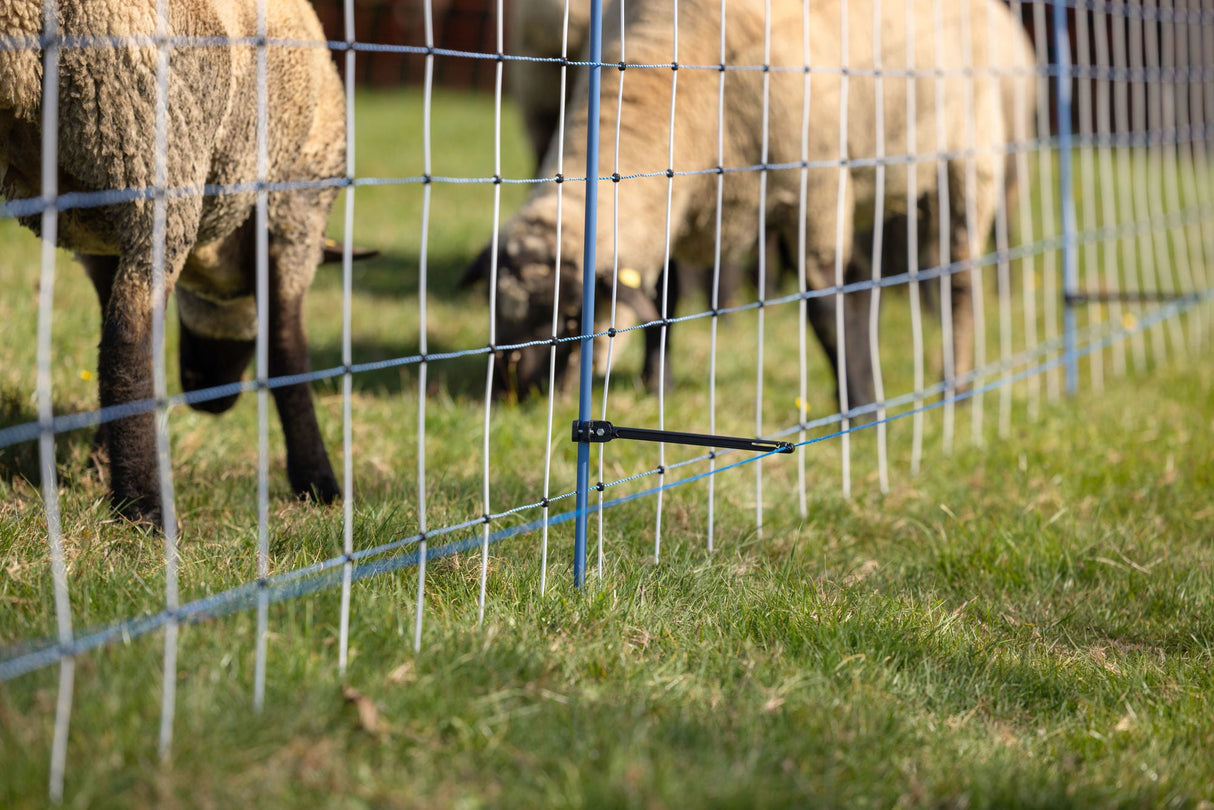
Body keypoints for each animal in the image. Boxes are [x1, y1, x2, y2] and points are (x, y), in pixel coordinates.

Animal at [1, 0, 347, 527]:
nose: (210, 398)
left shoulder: (98, 234)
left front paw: (98, 462)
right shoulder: (297, 207)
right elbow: (289, 348)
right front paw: (318, 482)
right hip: (152, 155)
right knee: (129, 340)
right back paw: (144, 508)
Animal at [483, 0, 1034, 405]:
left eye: (572, 319)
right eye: (494, 310)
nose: (516, 395)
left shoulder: (818, 190)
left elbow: (825, 307)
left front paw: (859, 406)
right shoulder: (681, 204)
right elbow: (663, 301)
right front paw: (656, 386)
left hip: (974, 162)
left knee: (958, 279)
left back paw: (956, 388)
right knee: (887, 274)